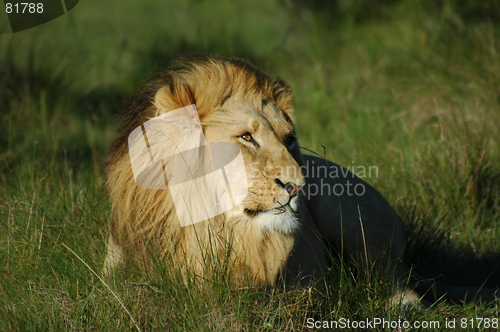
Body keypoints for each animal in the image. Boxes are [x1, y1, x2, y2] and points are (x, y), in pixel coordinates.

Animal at [103, 54, 498, 306]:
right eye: (246, 137)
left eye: (289, 138)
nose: (298, 187)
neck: (210, 229)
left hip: (349, 215)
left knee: (397, 284)